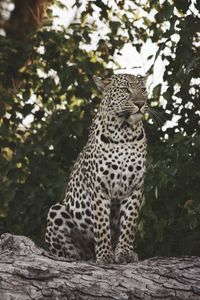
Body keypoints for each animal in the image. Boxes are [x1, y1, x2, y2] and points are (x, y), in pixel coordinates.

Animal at [45, 73, 148, 264]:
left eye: (143, 90)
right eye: (126, 89)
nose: (140, 103)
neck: (124, 133)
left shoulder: (135, 187)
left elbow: (129, 223)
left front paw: (124, 252)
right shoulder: (99, 187)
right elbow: (101, 225)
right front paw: (105, 255)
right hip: (57, 211)